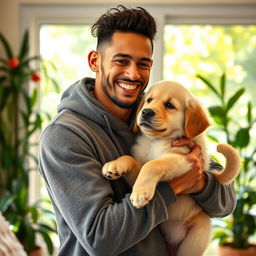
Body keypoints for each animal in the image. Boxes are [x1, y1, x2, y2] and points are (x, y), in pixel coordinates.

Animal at [101, 80, 240, 256]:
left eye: (169, 105)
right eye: (149, 100)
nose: (146, 112)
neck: (155, 141)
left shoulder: (184, 160)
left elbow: (152, 165)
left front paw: (140, 194)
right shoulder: (139, 168)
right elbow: (131, 159)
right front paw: (114, 166)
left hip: (193, 241)